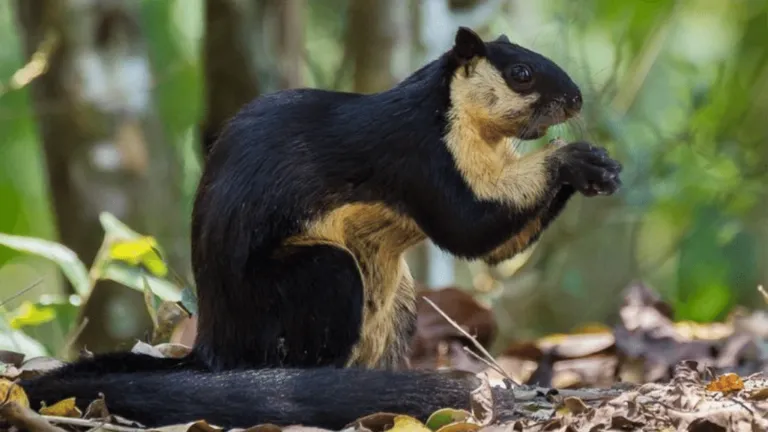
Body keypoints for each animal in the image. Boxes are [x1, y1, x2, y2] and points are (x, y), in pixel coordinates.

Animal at [19, 27, 622, 430]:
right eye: (521, 74)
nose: (576, 99)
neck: (467, 129)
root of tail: (214, 351)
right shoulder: (416, 156)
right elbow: (469, 230)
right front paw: (574, 159)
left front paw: (601, 169)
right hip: (321, 276)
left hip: (398, 301)